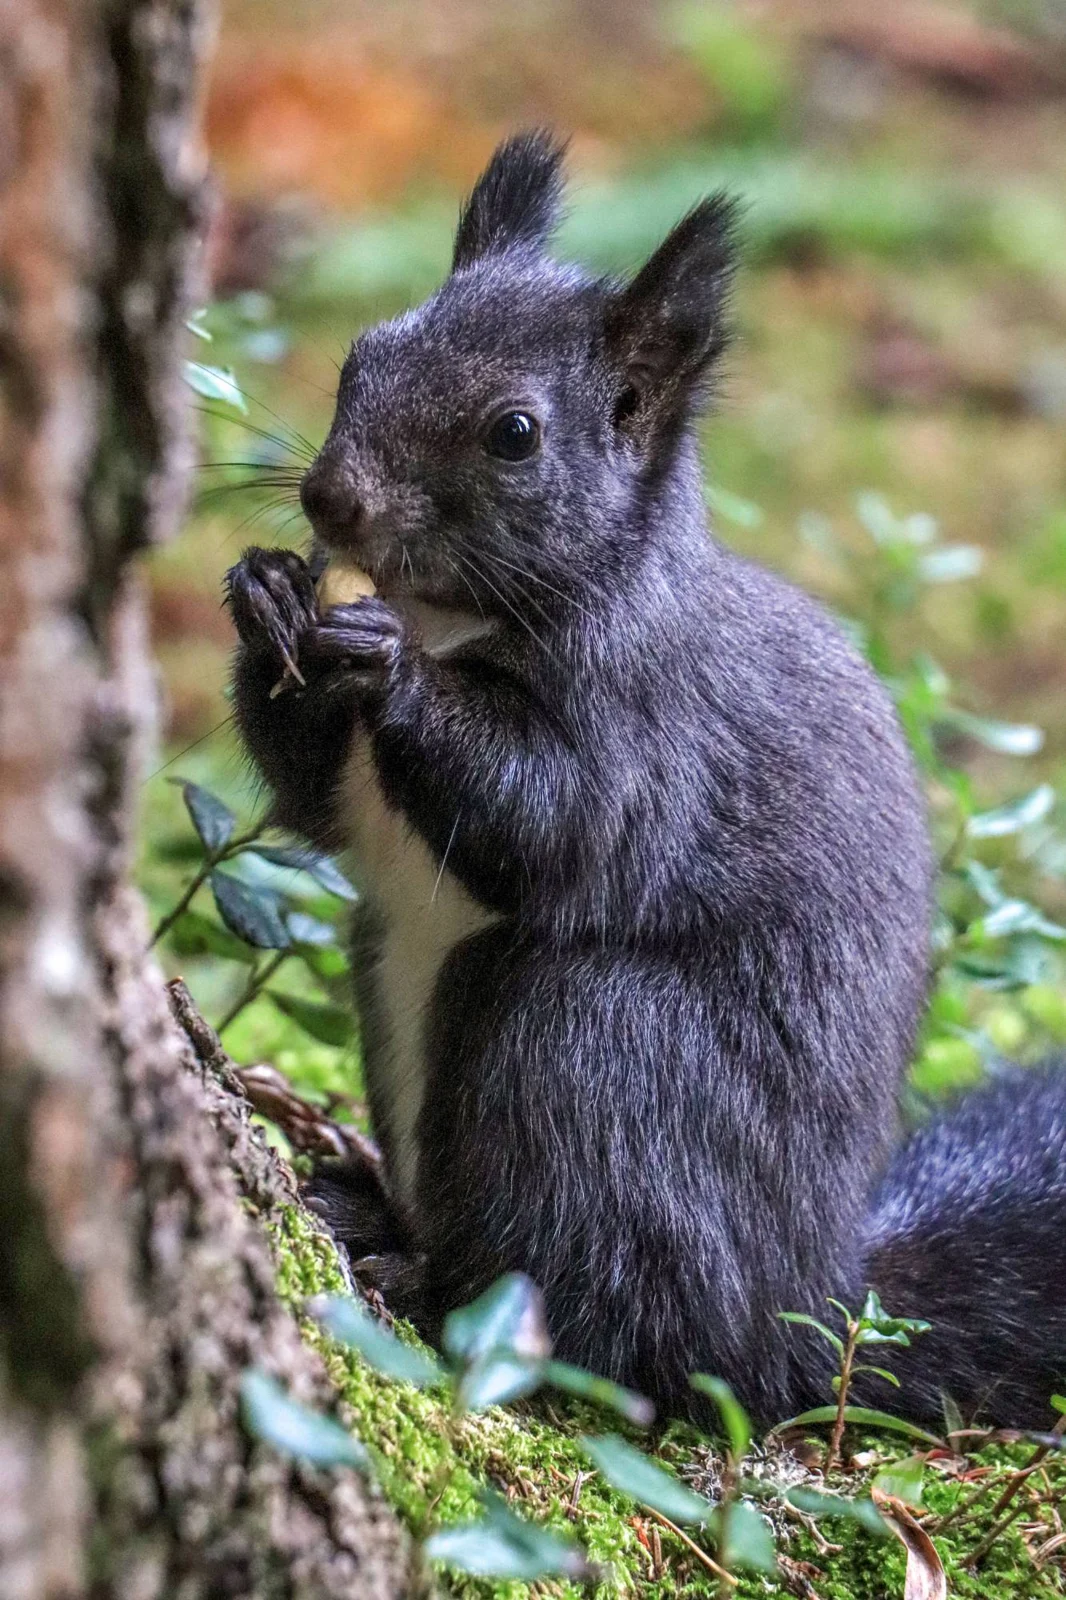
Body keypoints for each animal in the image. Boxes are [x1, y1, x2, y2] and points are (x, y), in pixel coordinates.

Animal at [226, 131, 1066, 1427]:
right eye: (363, 352)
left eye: (515, 433)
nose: (329, 499)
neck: (463, 615)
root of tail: (806, 1317)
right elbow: (314, 806)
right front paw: (266, 594)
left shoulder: (654, 736)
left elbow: (556, 824)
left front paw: (392, 665)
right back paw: (365, 1208)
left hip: (594, 1049)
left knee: (612, 1322)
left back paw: (434, 1286)